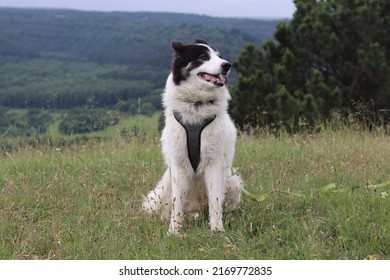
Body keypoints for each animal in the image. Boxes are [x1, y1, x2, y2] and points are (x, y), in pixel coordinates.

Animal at [142, 37, 242, 234]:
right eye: (203, 57)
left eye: (219, 56)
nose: (227, 65)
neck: (197, 105)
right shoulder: (179, 166)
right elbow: (177, 203)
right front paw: (174, 231)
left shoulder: (214, 163)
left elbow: (215, 201)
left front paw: (217, 229)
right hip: (164, 186)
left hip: (233, 181)